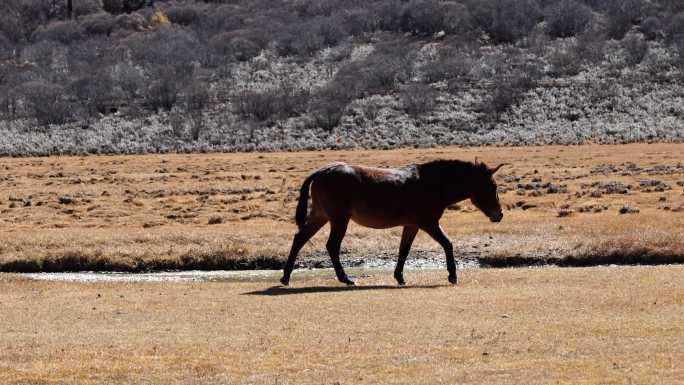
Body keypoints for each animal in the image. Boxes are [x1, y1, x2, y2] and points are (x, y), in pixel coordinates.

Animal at [280, 158, 508, 284]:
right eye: (492, 186)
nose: (499, 215)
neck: (431, 185)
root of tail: (322, 171)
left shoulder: (412, 226)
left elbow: (403, 250)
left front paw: (399, 277)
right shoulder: (429, 224)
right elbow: (448, 244)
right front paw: (452, 276)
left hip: (321, 216)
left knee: (299, 239)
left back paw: (285, 278)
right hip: (338, 220)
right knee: (332, 246)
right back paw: (346, 279)